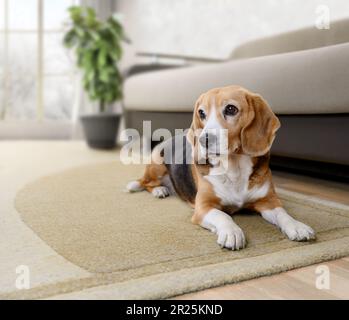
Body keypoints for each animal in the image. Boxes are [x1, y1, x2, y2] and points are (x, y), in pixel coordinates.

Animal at [125, 85, 316, 250]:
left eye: (231, 109)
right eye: (201, 113)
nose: (204, 140)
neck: (234, 169)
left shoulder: (268, 201)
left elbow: (283, 214)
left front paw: (297, 226)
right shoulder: (203, 207)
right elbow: (223, 215)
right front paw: (232, 232)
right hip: (157, 165)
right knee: (145, 182)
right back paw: (159, 190)